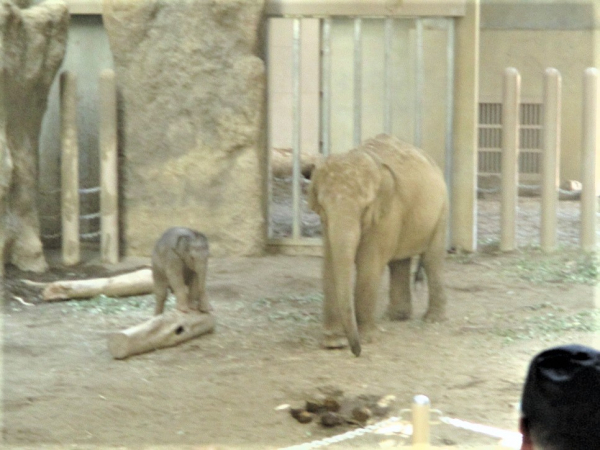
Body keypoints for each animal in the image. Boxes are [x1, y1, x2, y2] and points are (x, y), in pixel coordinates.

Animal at [308, 132, 448, 356]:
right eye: (323, 206)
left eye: (365, 208)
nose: (356, 352)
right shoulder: (326, 225)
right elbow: (329, 266)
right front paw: (333, 343)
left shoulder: (386, 213)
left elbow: (369, 266)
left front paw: (366, 338)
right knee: (399, 262)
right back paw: (396, 317)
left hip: (441, 211)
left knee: (432, 259)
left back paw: (433, 320)